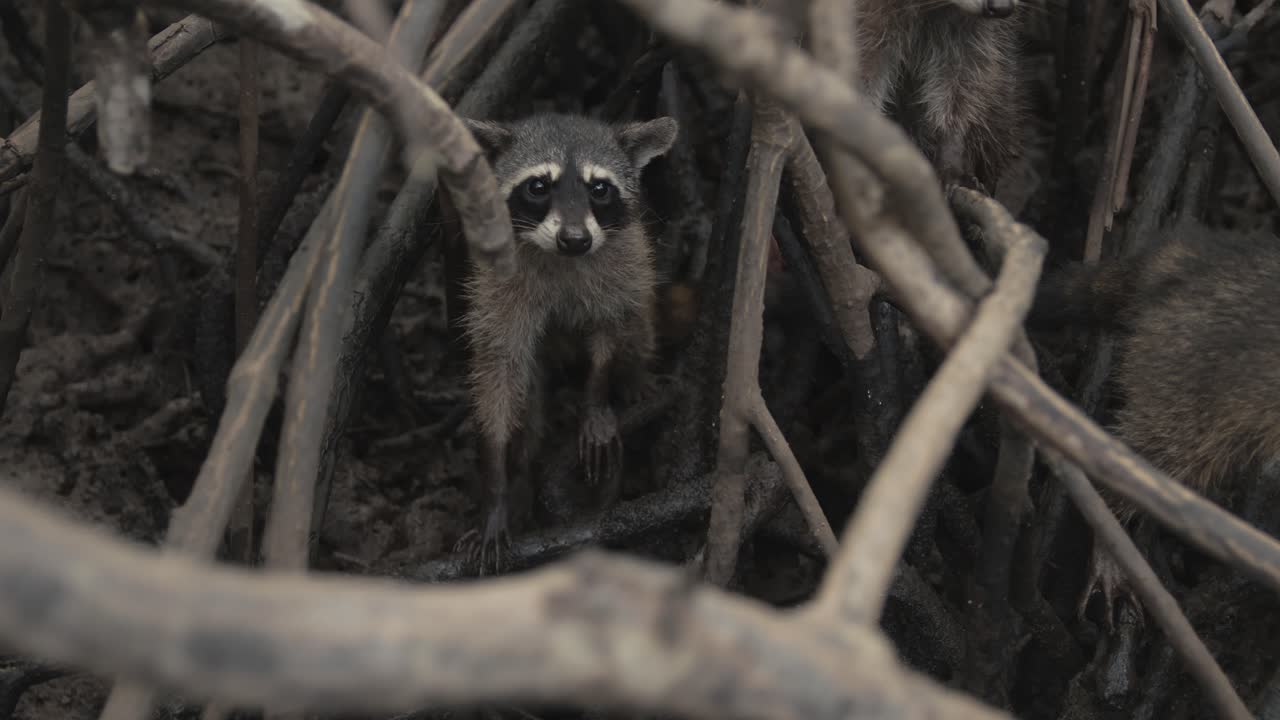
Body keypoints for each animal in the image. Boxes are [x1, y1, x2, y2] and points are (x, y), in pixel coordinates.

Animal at [457, 113, 678, 572]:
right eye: (539, 186)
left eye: (600, 188)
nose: (575, 239)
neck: (563, 257)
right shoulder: (498, 287)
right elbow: (499, 372)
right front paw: (496, 485)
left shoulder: (620, 264)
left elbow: (609, 327)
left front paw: (596, 396)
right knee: (529, 392)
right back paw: (523, 472)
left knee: (637, 323)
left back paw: (634, 378)